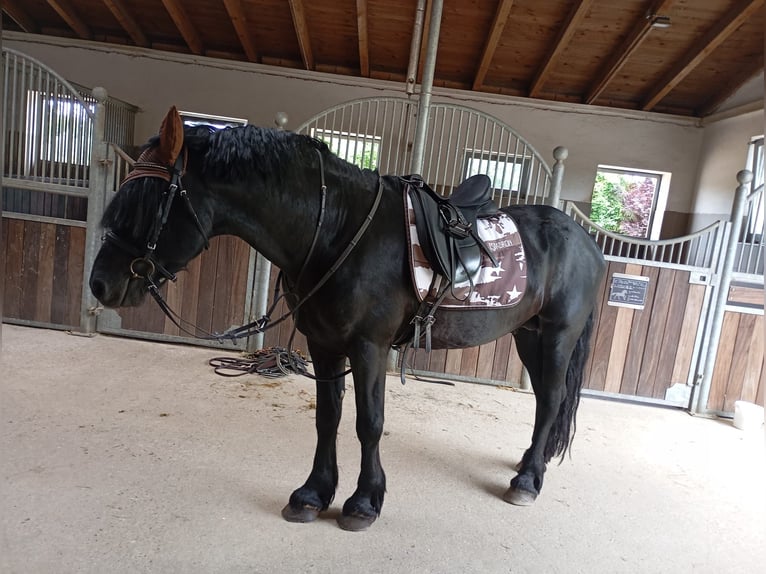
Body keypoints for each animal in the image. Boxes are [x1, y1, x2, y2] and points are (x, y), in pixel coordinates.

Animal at [89, 106, 606, 531]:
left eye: (148, 198)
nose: (99, 285)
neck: (335, 231)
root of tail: (585, 240)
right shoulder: (323, 344)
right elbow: (328, 417)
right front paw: (313, 494)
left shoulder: (368, 346)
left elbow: (368, 422)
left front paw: (364, 502)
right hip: (528, 334)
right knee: (544, 401)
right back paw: (527, 465)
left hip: (557, 335)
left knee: (552, 399)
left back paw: (528, 480)